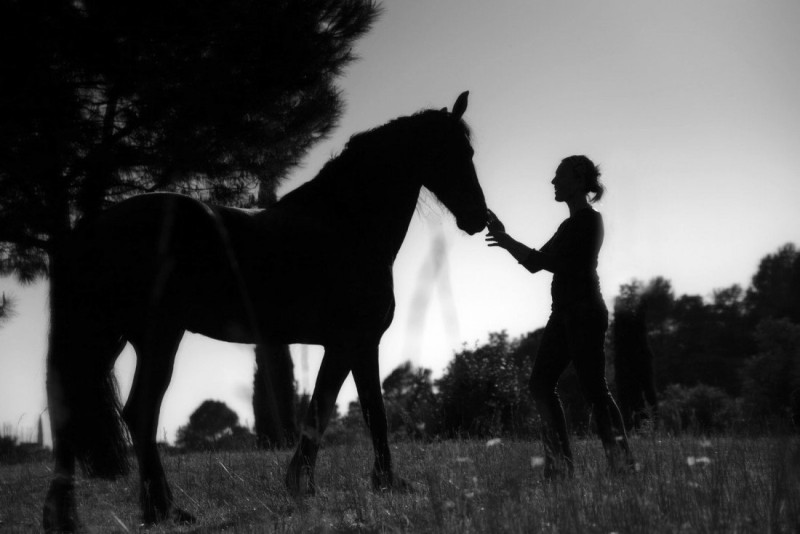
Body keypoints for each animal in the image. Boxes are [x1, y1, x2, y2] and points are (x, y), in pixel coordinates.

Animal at [43, 91, 487, 531]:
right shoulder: (353, 342)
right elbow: (345, 412)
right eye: (458, 152)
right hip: (157, 335)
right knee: (140, 412)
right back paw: (163, 510)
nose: (478, 218)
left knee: (72, 411)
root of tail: (92, 228)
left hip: (108, 337)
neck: (345, 224)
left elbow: (350, 410)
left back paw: (75, 516)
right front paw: (334, 484)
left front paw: (352, 483)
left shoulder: (352, 346)